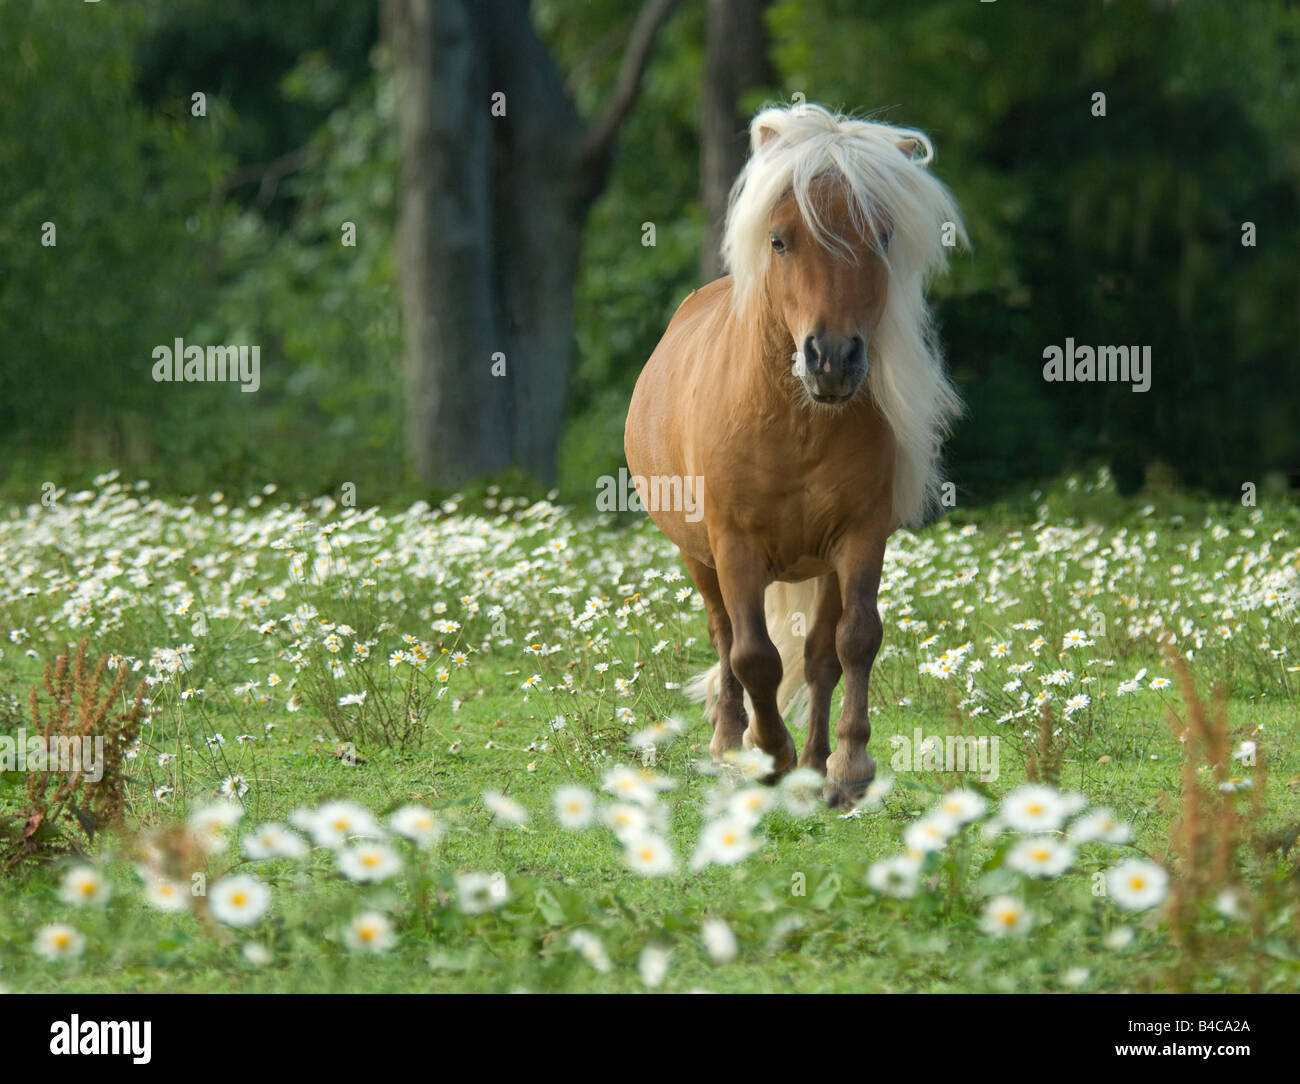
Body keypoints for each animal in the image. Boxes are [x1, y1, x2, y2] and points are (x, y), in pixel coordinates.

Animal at [624, 103, 966, 808]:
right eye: (780, 241)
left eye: (881, 238)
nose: (831, 358)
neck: (796, 425)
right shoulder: (733, 545)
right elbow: (754, 655)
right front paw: (768, 754)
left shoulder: (859, 537)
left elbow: (850, 643)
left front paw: (843, 769)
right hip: (698, 557)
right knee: (725, 639)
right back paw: (730, 743)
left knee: (815, 655)